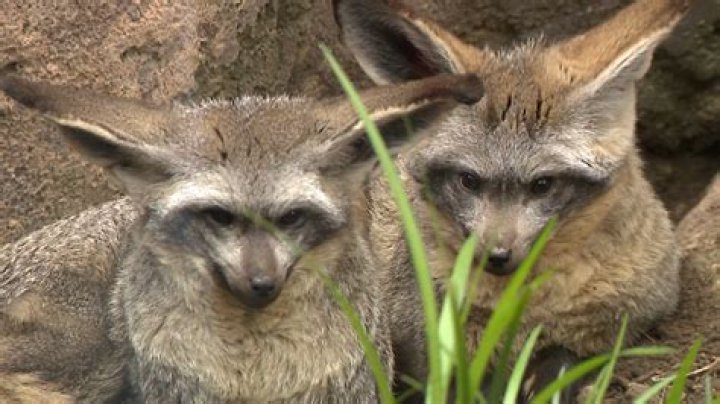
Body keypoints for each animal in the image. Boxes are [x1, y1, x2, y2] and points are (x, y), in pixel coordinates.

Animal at [334, 0, 688, 399]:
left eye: (542, 184)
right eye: (469, 181)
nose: (496, 255)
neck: (526, 307)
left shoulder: (632, 318)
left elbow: (566, 359)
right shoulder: (425, 356)